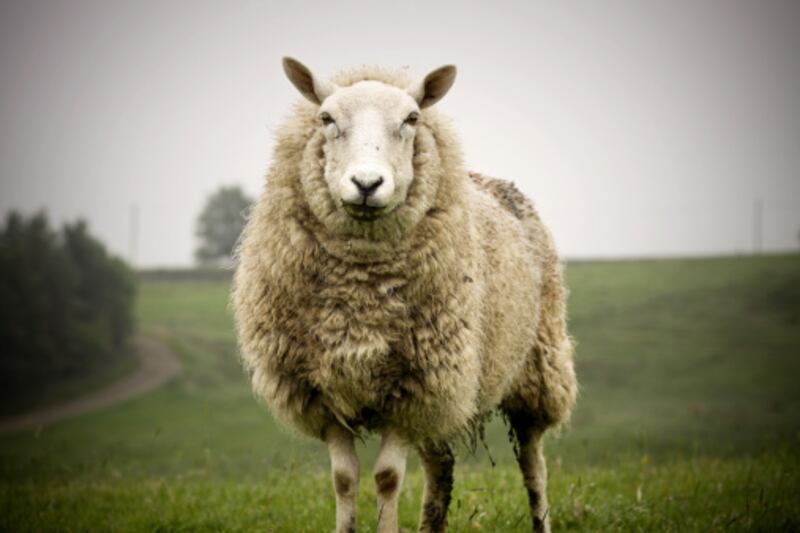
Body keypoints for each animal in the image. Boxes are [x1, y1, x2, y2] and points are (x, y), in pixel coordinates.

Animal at [231, 58, 576, 532]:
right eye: (326, 118)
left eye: (411, 119)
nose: (366, 183)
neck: (359, 292)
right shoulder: (324, 387)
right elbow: (344, 479)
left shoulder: (411, 387)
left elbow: (388, 478)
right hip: (445, 395)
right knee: (440, 467)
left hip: (534, 369)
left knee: (533, 464)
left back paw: (541, 517)